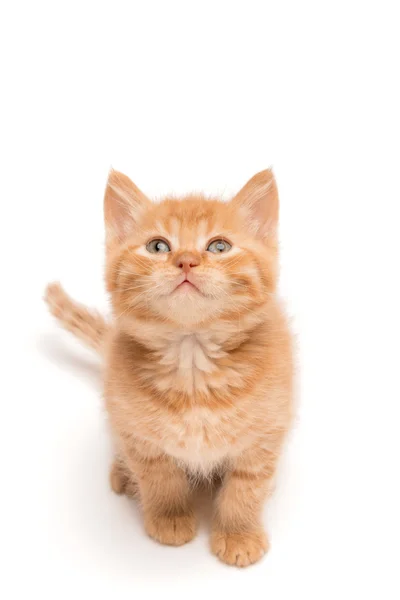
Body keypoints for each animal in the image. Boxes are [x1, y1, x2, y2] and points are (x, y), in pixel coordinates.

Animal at [44, 169, 294, 568]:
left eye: (218, 247)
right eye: (158, 247)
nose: (187, 261)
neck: (192, 360)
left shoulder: (264, 434)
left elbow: (246, 487)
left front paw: (239, 534)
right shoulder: (138, 435)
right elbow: (160, 478)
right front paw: (169, 518)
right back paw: (121, 473)